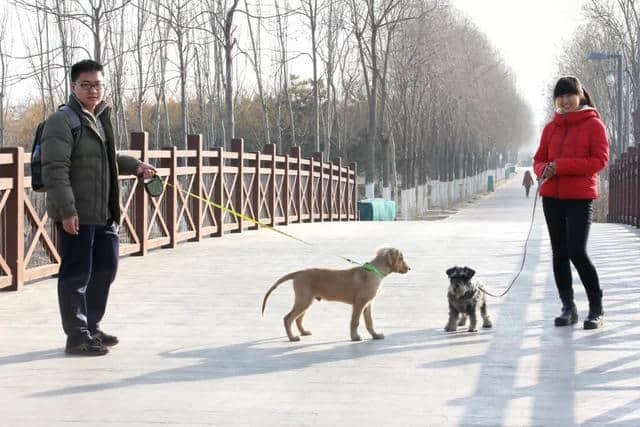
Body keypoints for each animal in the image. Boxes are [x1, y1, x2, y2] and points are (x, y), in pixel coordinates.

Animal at [260, 247, 410, 342]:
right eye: (401, 258)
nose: (409, 268)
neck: (375, 271)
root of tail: (299, 272)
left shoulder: (368, 304)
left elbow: (369, 322)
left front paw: (375, 335)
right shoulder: (359, 303)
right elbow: (355, 322)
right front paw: (355, 337)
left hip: (307, 300)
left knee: (298, 319)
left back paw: (303, 332)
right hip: (303, 300)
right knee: (288, 318)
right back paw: (292, 338)